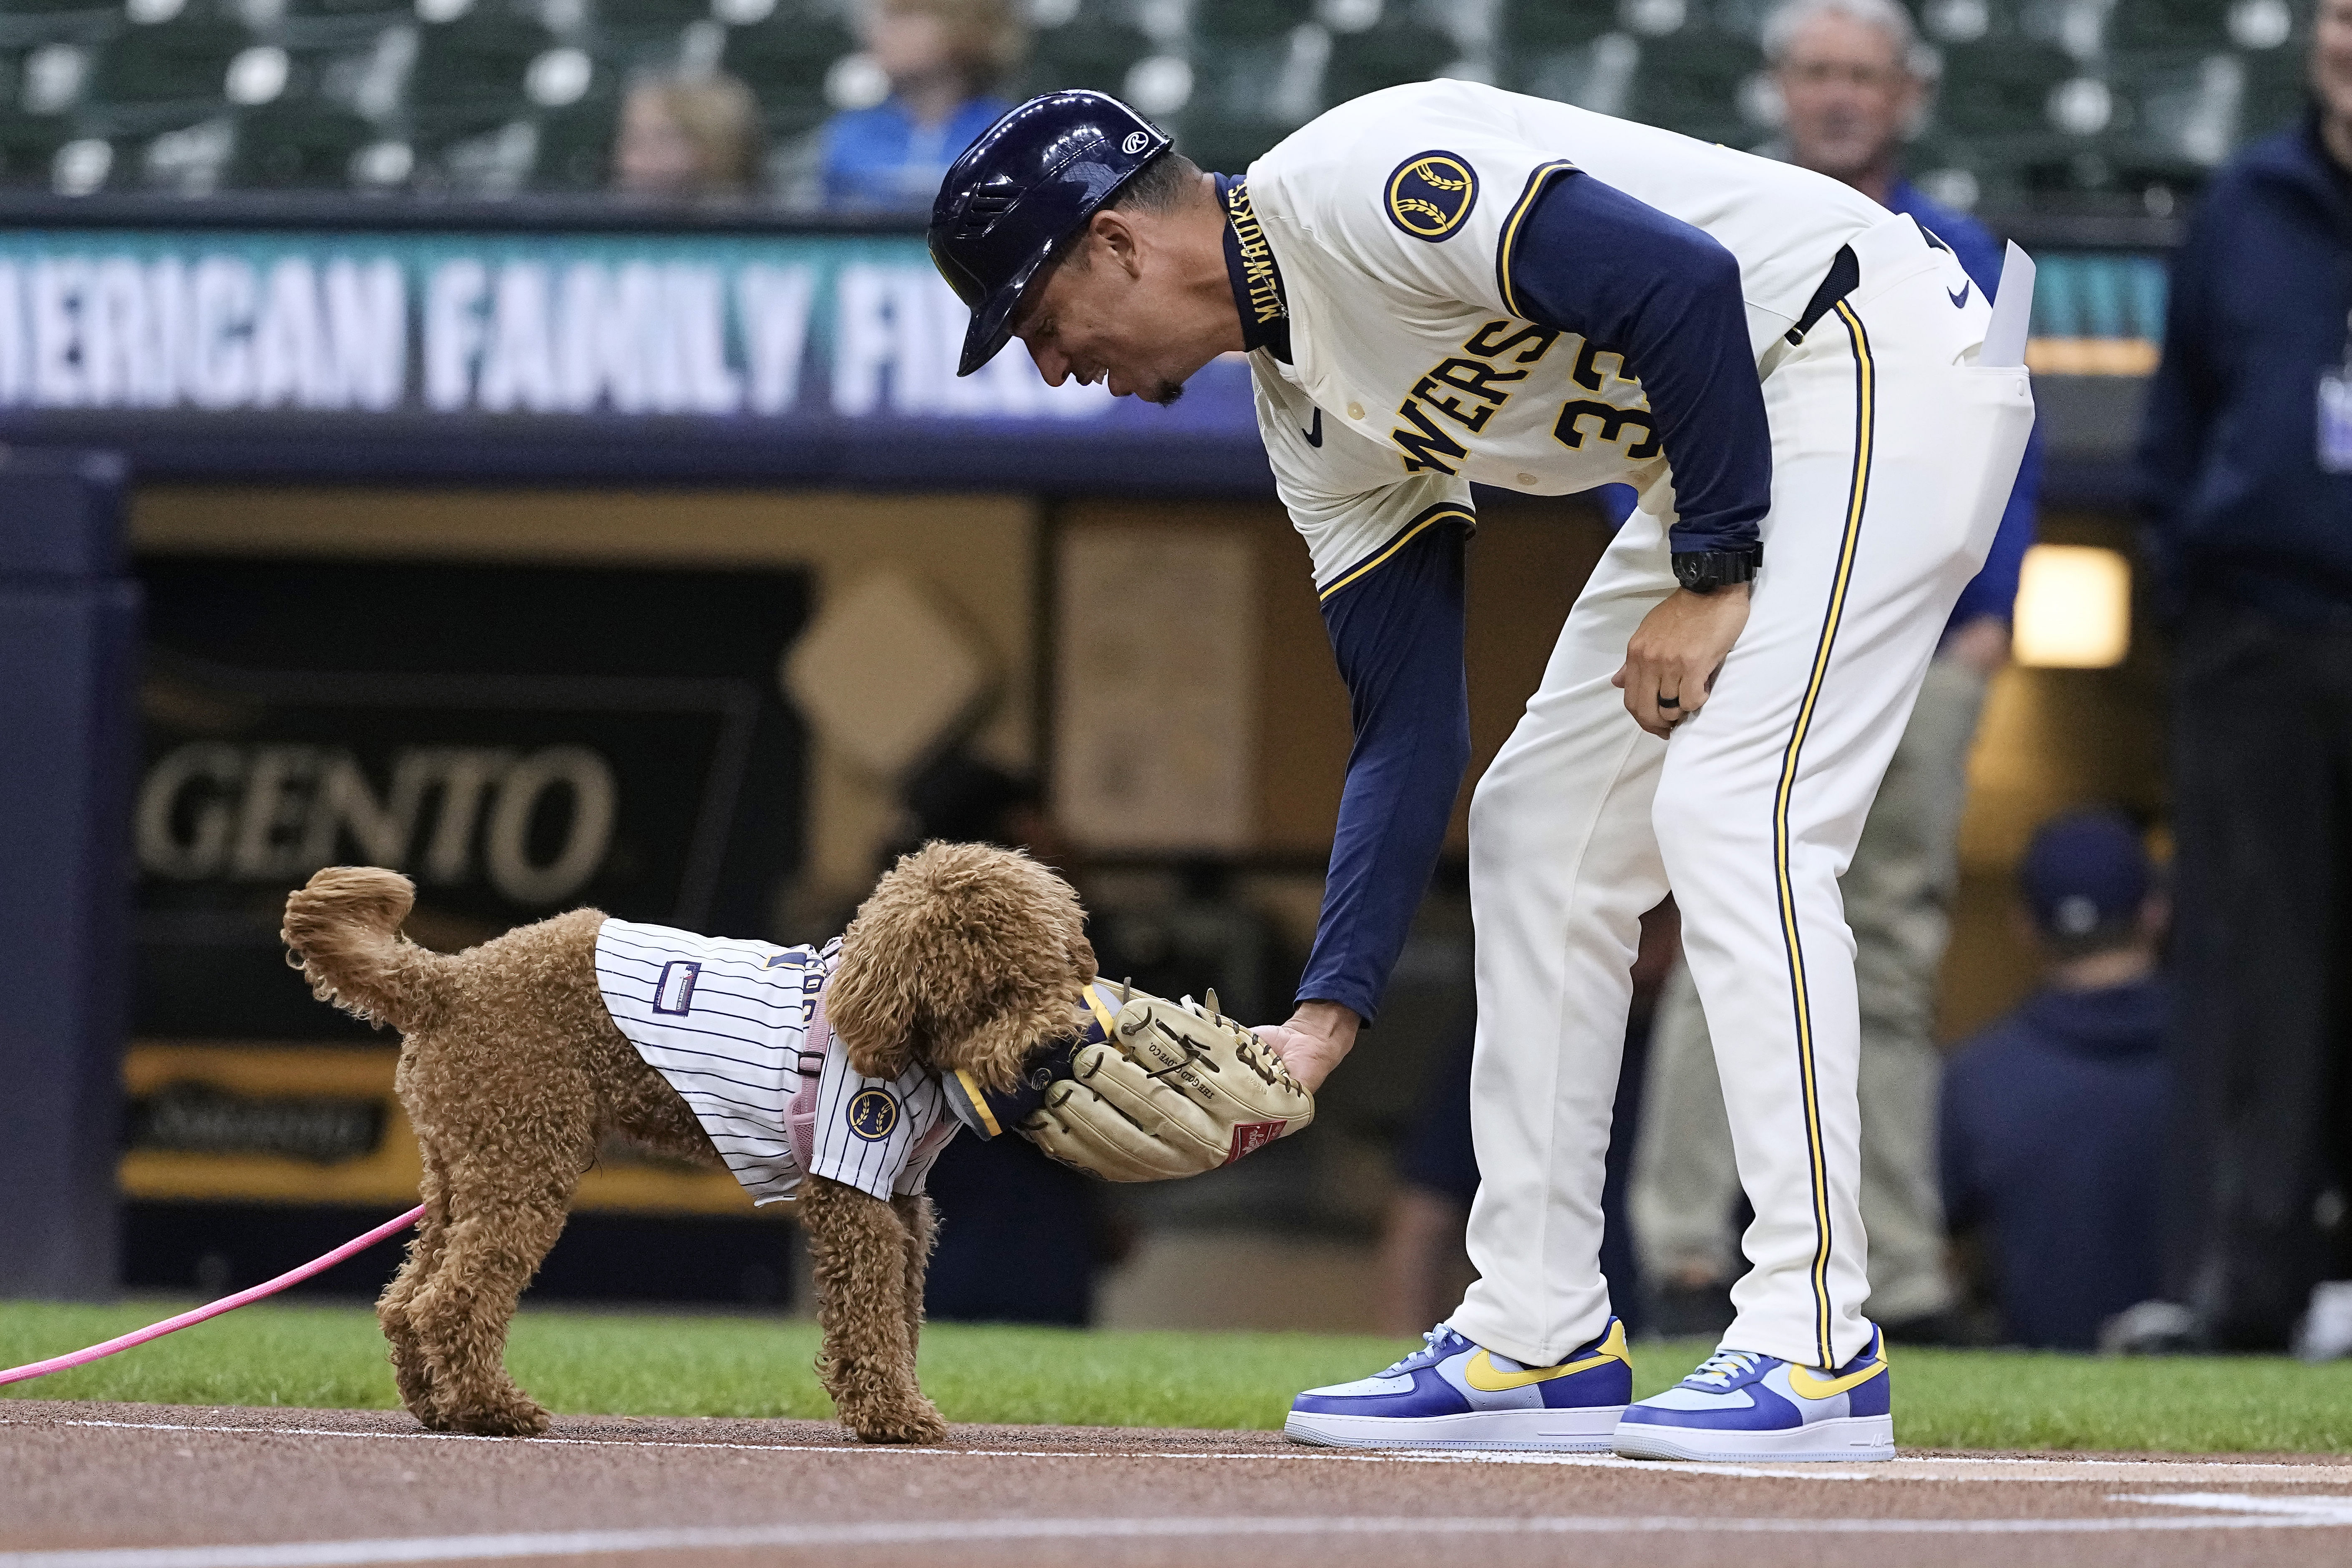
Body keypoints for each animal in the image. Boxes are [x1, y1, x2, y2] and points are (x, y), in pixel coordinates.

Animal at [280, 846, 1086, 1448]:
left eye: (1045, 972)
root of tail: (447, 978)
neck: (891, 1022)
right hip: (525, 1156)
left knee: (406, 1299)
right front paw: (892, 1415)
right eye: (985, 994)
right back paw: (492, 1409)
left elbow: (901, 1312)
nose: (1047, 1046)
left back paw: (439, 1405)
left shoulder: (901, 1198)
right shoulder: (853, 1176)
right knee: (451, 1300)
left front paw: (897, 1398)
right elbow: (870, 1309)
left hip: (463, 1164)